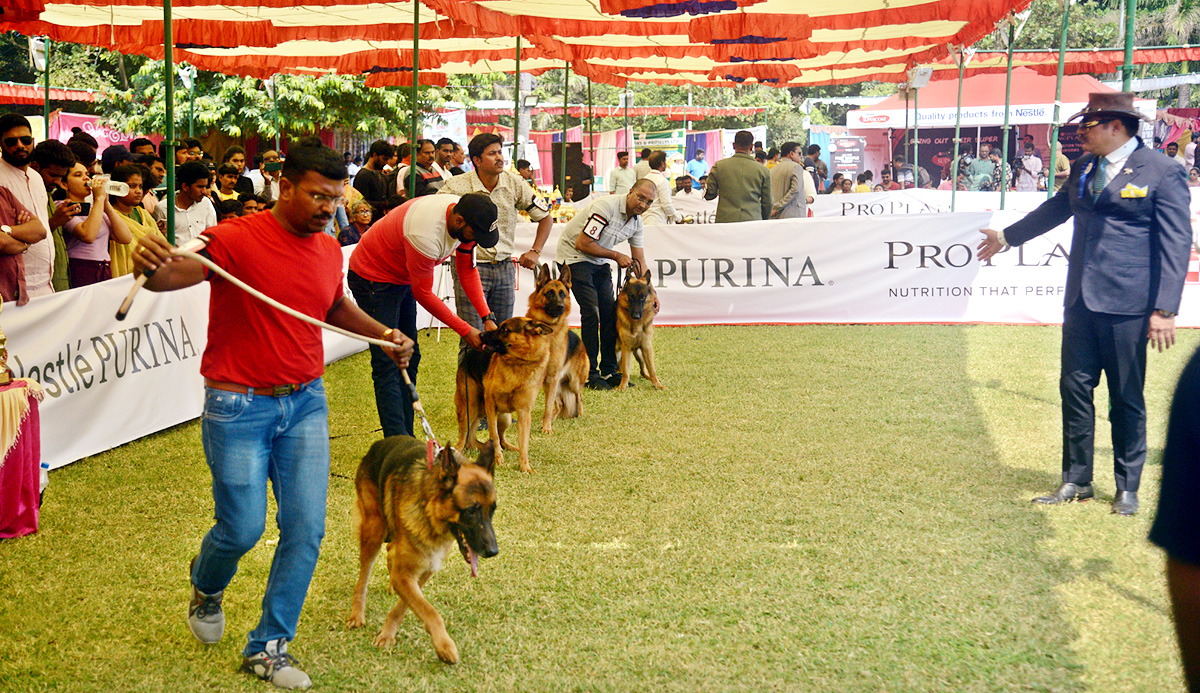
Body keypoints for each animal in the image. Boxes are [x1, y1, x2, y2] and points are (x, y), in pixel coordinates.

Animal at [348, 434, 496, 661]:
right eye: (471, 511)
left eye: (493, 510)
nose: (493, 551)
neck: (430, 513)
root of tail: (378, 443)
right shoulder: (406, 575)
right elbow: (430, 611)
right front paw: (444, 645)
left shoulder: (425, 570)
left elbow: (405, 607)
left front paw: (388, 633)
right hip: (373, 531)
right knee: (363, 578)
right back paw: (357, 613)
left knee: (391, 551)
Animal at [456, 316, 554, 472]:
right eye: (500, 327)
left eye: (505, 329)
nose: (480, 335)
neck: (519, 362)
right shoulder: (491, 406)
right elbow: (493, 435)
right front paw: (497, 459)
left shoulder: (524, 413)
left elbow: (524, 443)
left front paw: (524, 466)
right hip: (470, 409)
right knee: (464, 436)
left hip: (505, 417)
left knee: (501, 440)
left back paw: (510, 447)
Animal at [528, 261, 592, 429]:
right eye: (550, 293)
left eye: (562, 294)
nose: (560, 307)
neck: (549, 330)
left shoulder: (552, 377)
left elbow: (548, 406)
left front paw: (546, 429)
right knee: (559, 403)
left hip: (573, 382)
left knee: (578, 396)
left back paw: (579, 414)